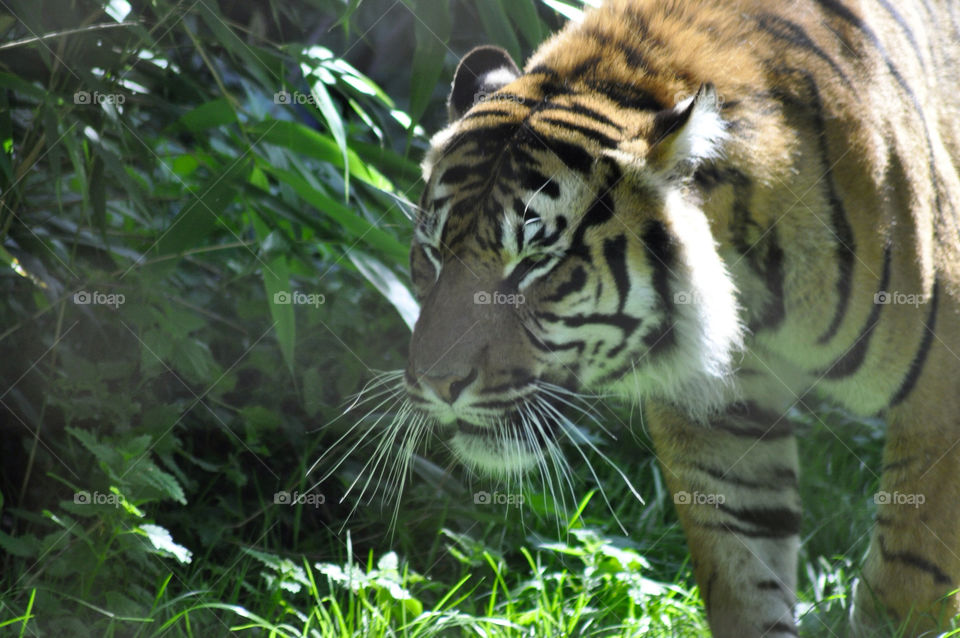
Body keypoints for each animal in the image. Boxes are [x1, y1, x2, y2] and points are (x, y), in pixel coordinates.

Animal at [399, 0, 960, 635]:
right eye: (432, 253)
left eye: (536, 263)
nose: (438, 384)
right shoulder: (721, 416)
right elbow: (744, 570)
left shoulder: (940, 397)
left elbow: (909, 579)